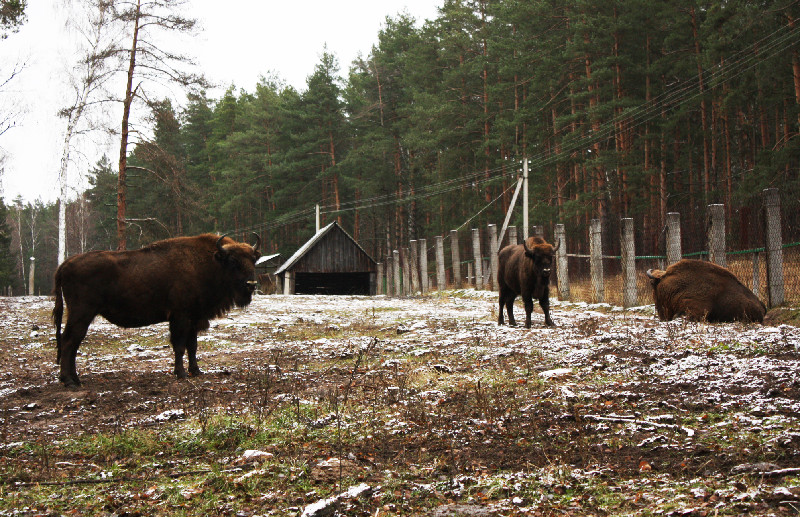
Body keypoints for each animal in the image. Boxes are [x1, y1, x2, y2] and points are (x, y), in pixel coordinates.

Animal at [50, 234, 262, 388]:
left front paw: (196, 371)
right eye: (233, 261)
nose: (251, 284)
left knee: (73, 343)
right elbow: (180, 346)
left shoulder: (194, 319)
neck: (209, 262)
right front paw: (181, 373)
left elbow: (193, 346)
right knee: (69, 341)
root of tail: (65, 264)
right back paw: (69, 381)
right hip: (81, 314)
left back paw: (75, 379)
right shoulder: (180, 318)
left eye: (253, 260)